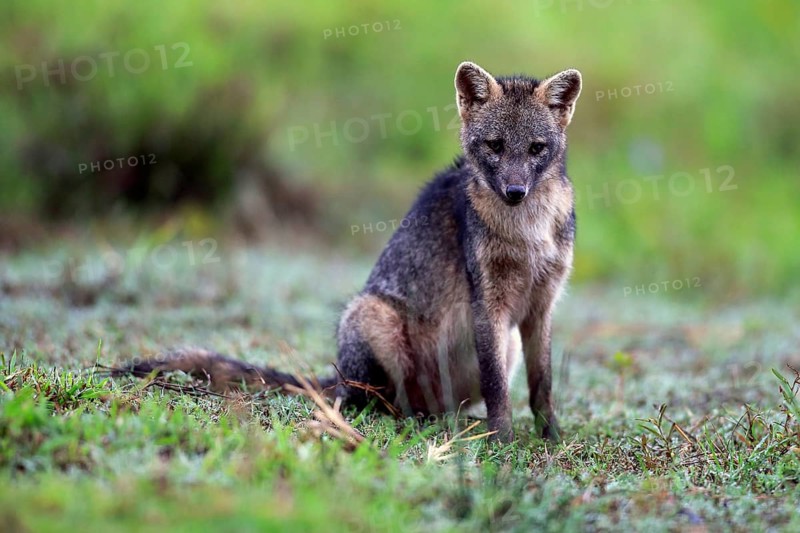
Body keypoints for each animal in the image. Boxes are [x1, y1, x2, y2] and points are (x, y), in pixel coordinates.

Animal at [118, 61, 582, 442]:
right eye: (495, 146)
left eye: (536, 148)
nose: (515, 192)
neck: (527, 234)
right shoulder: (488, 304)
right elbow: (497, 388)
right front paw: (502, 441)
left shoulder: (542, 306)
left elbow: (542, 385)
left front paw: (550, 437)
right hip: (373, 321)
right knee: (377, 404)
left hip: (500, 346)